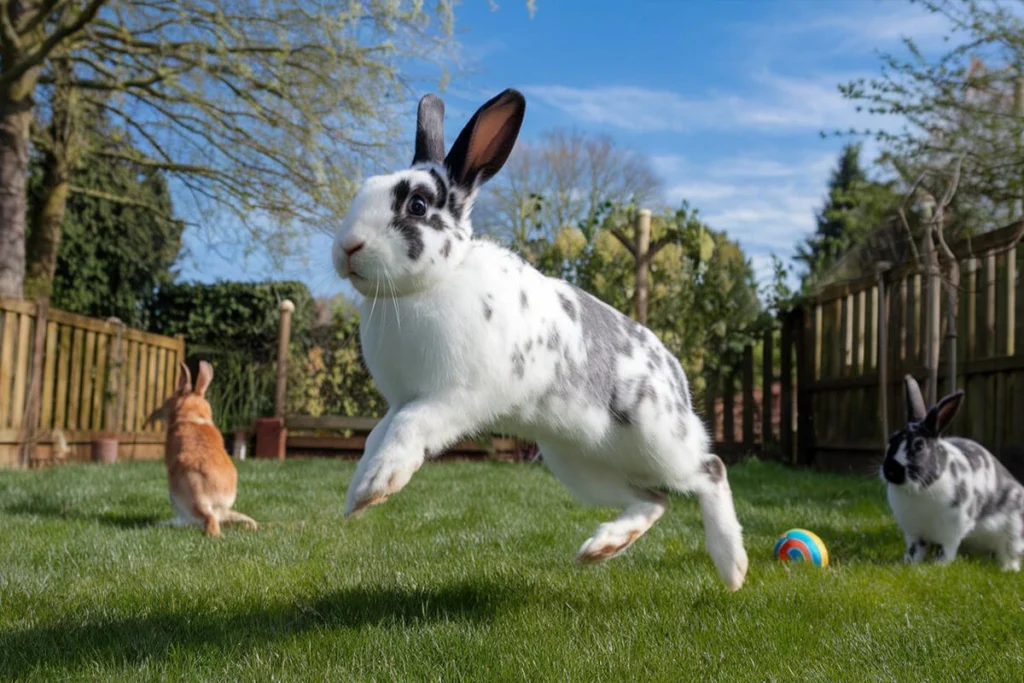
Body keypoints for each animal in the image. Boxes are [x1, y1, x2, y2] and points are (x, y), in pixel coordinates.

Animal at [331, 85, 749, 589]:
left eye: (416, 205)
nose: (347, 248)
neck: (431, 284)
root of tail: (676, 375)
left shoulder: (454, 397)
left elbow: (411, 426)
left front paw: (379, 483)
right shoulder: (399, 402)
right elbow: (376, 435)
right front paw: (357, 495)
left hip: (659, 440)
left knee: (710, 470)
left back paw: (732, 565)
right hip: (580, 464)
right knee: (655, 500)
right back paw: (602, 548)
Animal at [880, 374, 1024, 573]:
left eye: (919, 445)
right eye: (892, 439)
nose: (891, 471)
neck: (921, 489)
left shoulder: (951, 531)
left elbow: (946, 550)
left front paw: (938, 565)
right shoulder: (915, 533)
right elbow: (915, 550)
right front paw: (907, 563)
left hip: (1013, 532)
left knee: (1010, 552)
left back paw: (1007, 569)